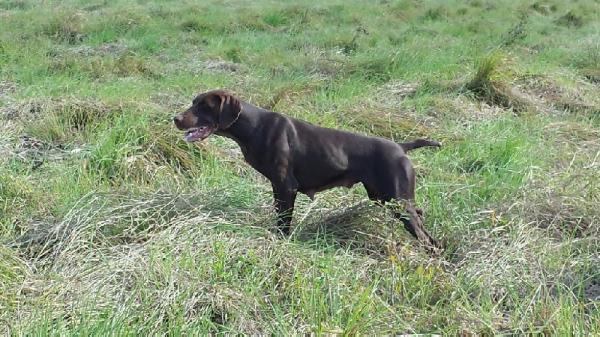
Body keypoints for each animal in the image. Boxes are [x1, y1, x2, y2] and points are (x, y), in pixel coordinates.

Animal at [173, 89, 440, 247]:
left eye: (204, 106)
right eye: (193, 102)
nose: (175, 119)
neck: (253, 126)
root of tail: (401, 147)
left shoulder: (286, 186)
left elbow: (283, 222)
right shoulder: (277, 187)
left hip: (398, 202)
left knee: (425, 237)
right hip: (386, 198)